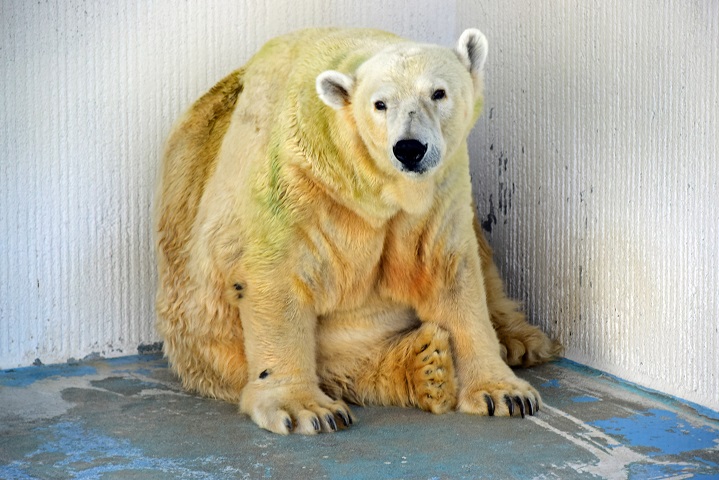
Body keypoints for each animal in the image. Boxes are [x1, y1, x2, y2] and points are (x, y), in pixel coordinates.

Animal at [156, 27, 564, 436]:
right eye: (379, 104)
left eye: (438, 92)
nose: (409, 148)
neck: (368, 185)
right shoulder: (294, 183)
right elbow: (277, 277)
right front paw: (307, 409)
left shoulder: (439, 190)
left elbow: (451, 272)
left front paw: (506, 394)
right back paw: (427, 365)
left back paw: (514, 342)